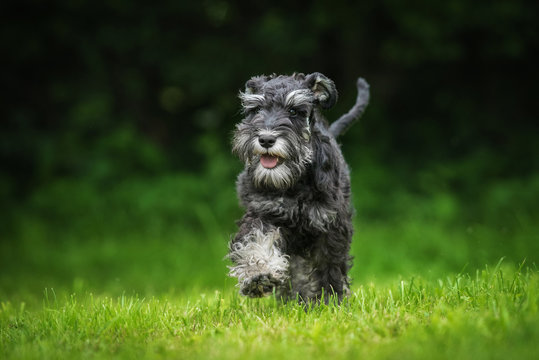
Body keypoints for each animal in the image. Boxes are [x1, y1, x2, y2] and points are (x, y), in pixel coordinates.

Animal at [228, 72, 372, 300]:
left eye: (293, 111)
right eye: (256, 109)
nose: (266, 139)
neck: (294, 182)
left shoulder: (330, 225)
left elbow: (329, 265)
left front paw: (331, 299)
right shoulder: (263, 213)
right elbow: (255, 240)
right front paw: (258, 275)